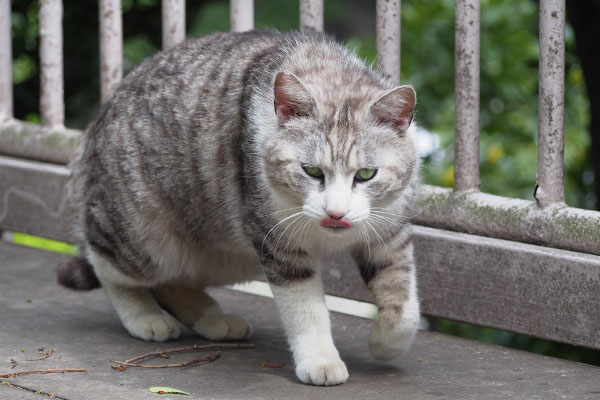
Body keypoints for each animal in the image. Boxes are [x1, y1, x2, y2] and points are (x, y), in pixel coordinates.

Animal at [58, 29, 420, 386]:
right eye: (312, 171)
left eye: (366, 174)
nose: (336, 213)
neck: (328, 70)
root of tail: (95, 127)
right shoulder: (278, 241)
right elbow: (305, 308)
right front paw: (320, 360)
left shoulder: (390, 231)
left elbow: (403, 296)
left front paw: (386, 342)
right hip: (145, 239)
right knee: (105, 260)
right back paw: (145, 317)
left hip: (226, 254)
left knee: (172, 281)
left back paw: (214, 319)